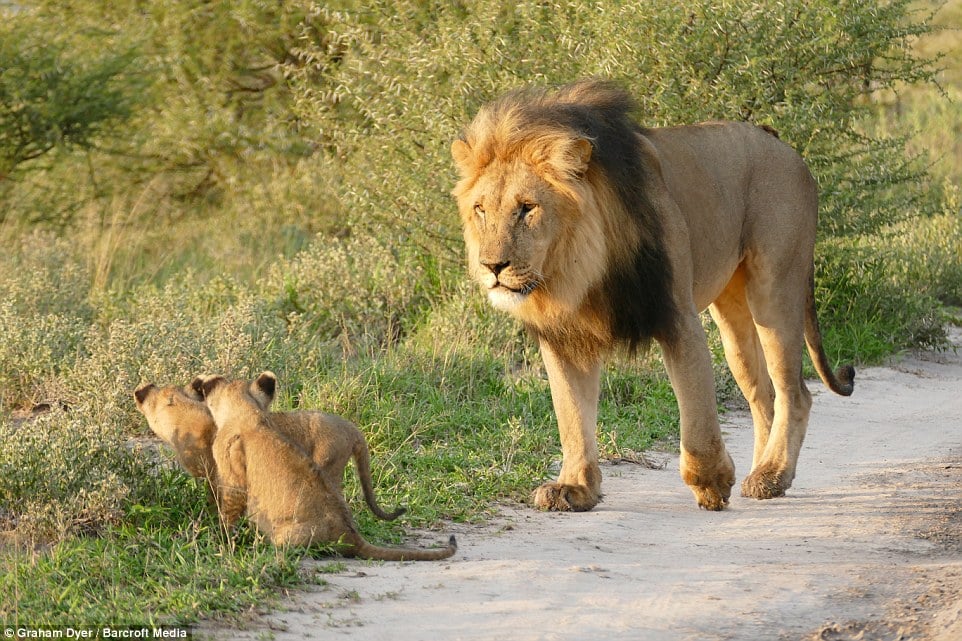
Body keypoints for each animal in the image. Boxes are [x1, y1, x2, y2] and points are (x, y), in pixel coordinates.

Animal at [450, 79, 856, 510]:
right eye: (480, 209)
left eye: (527, 208)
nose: (491, 266)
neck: (579, 268)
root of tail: (777, 140)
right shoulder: (564, 336)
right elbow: (572, 417)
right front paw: (575, 487)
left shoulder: (677, 316)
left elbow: (695, 410)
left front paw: (710, 483)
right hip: (732, 313)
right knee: (763, 396)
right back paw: (760, 472)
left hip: (775, 286)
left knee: (794, 394)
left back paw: (772, 476)